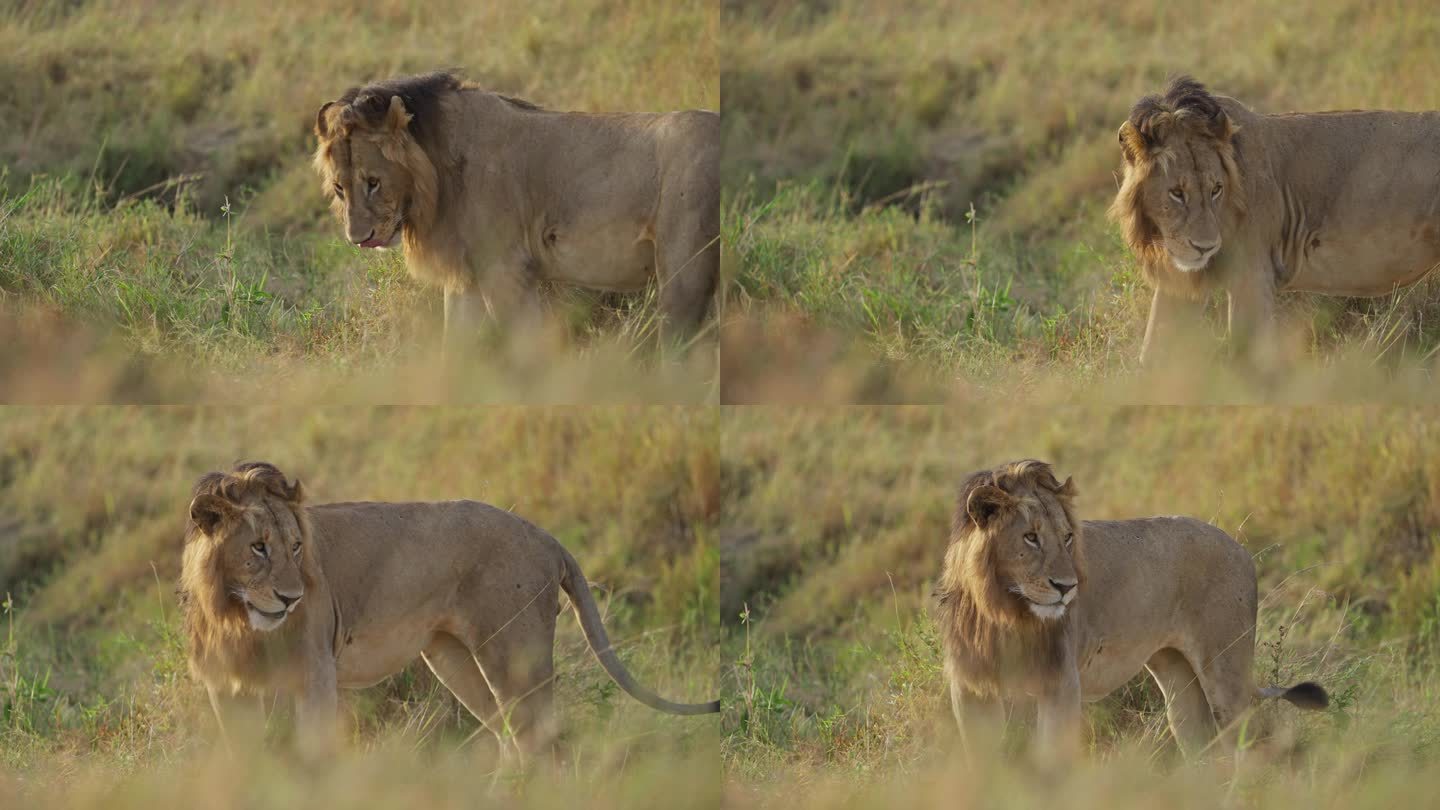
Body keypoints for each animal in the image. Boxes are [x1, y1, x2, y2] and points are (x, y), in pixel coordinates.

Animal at [180, 461, 720, 755]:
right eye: (258, 548)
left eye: (295, 547)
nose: (292, 598)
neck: (237, 619)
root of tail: (544, 536)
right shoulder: (226, 689)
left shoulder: (315, 675)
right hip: (453, 659)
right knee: (511, 738)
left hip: (514, 657)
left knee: (542, 742)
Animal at [313, 74, 720, 351]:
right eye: (339, 188)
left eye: (373, 182)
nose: (359, 239)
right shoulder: (466, 279)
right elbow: (454, 349)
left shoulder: (505, 268)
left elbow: (528, 348)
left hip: (684, 272)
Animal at [933, 461, 1324, 755]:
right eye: (1030, 537)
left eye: (1067, 537)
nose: (1067, 587)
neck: (1003, 611)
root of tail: (1242, 549)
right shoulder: (971, 689)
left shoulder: (1061, 684)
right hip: (1178, 679)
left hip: (1226, 673)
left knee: (1249, 747)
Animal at [1111, 75, 1440, 366]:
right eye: (1177, 193)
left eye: (1216, 189)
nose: (1205, 247)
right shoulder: (1179, 281)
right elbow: (1154, 350)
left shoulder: (1252, 276)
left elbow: (1245, 357)